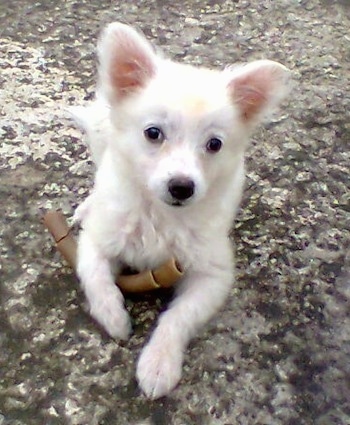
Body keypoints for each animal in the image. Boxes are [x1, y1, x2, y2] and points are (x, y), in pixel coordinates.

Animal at [72, 21, 290, 396]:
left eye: (214, 144)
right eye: (153, 133)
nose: (182, 187)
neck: (159, 215)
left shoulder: (212, 273)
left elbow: (177, 317)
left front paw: (159, 363)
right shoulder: (97, 241)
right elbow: (96, 277)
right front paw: (115, 318)